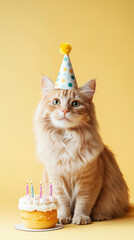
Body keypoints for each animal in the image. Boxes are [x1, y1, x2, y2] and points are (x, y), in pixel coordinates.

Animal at [34, 76, 129, 224]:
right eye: (56, 102)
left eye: (75, 104)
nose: (65, 110)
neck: (67, 141)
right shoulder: (56, 180)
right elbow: (62, 203)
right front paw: (63, 217)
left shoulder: (89, 181)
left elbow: (83, 203)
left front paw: (80, 218)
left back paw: (100, 216)